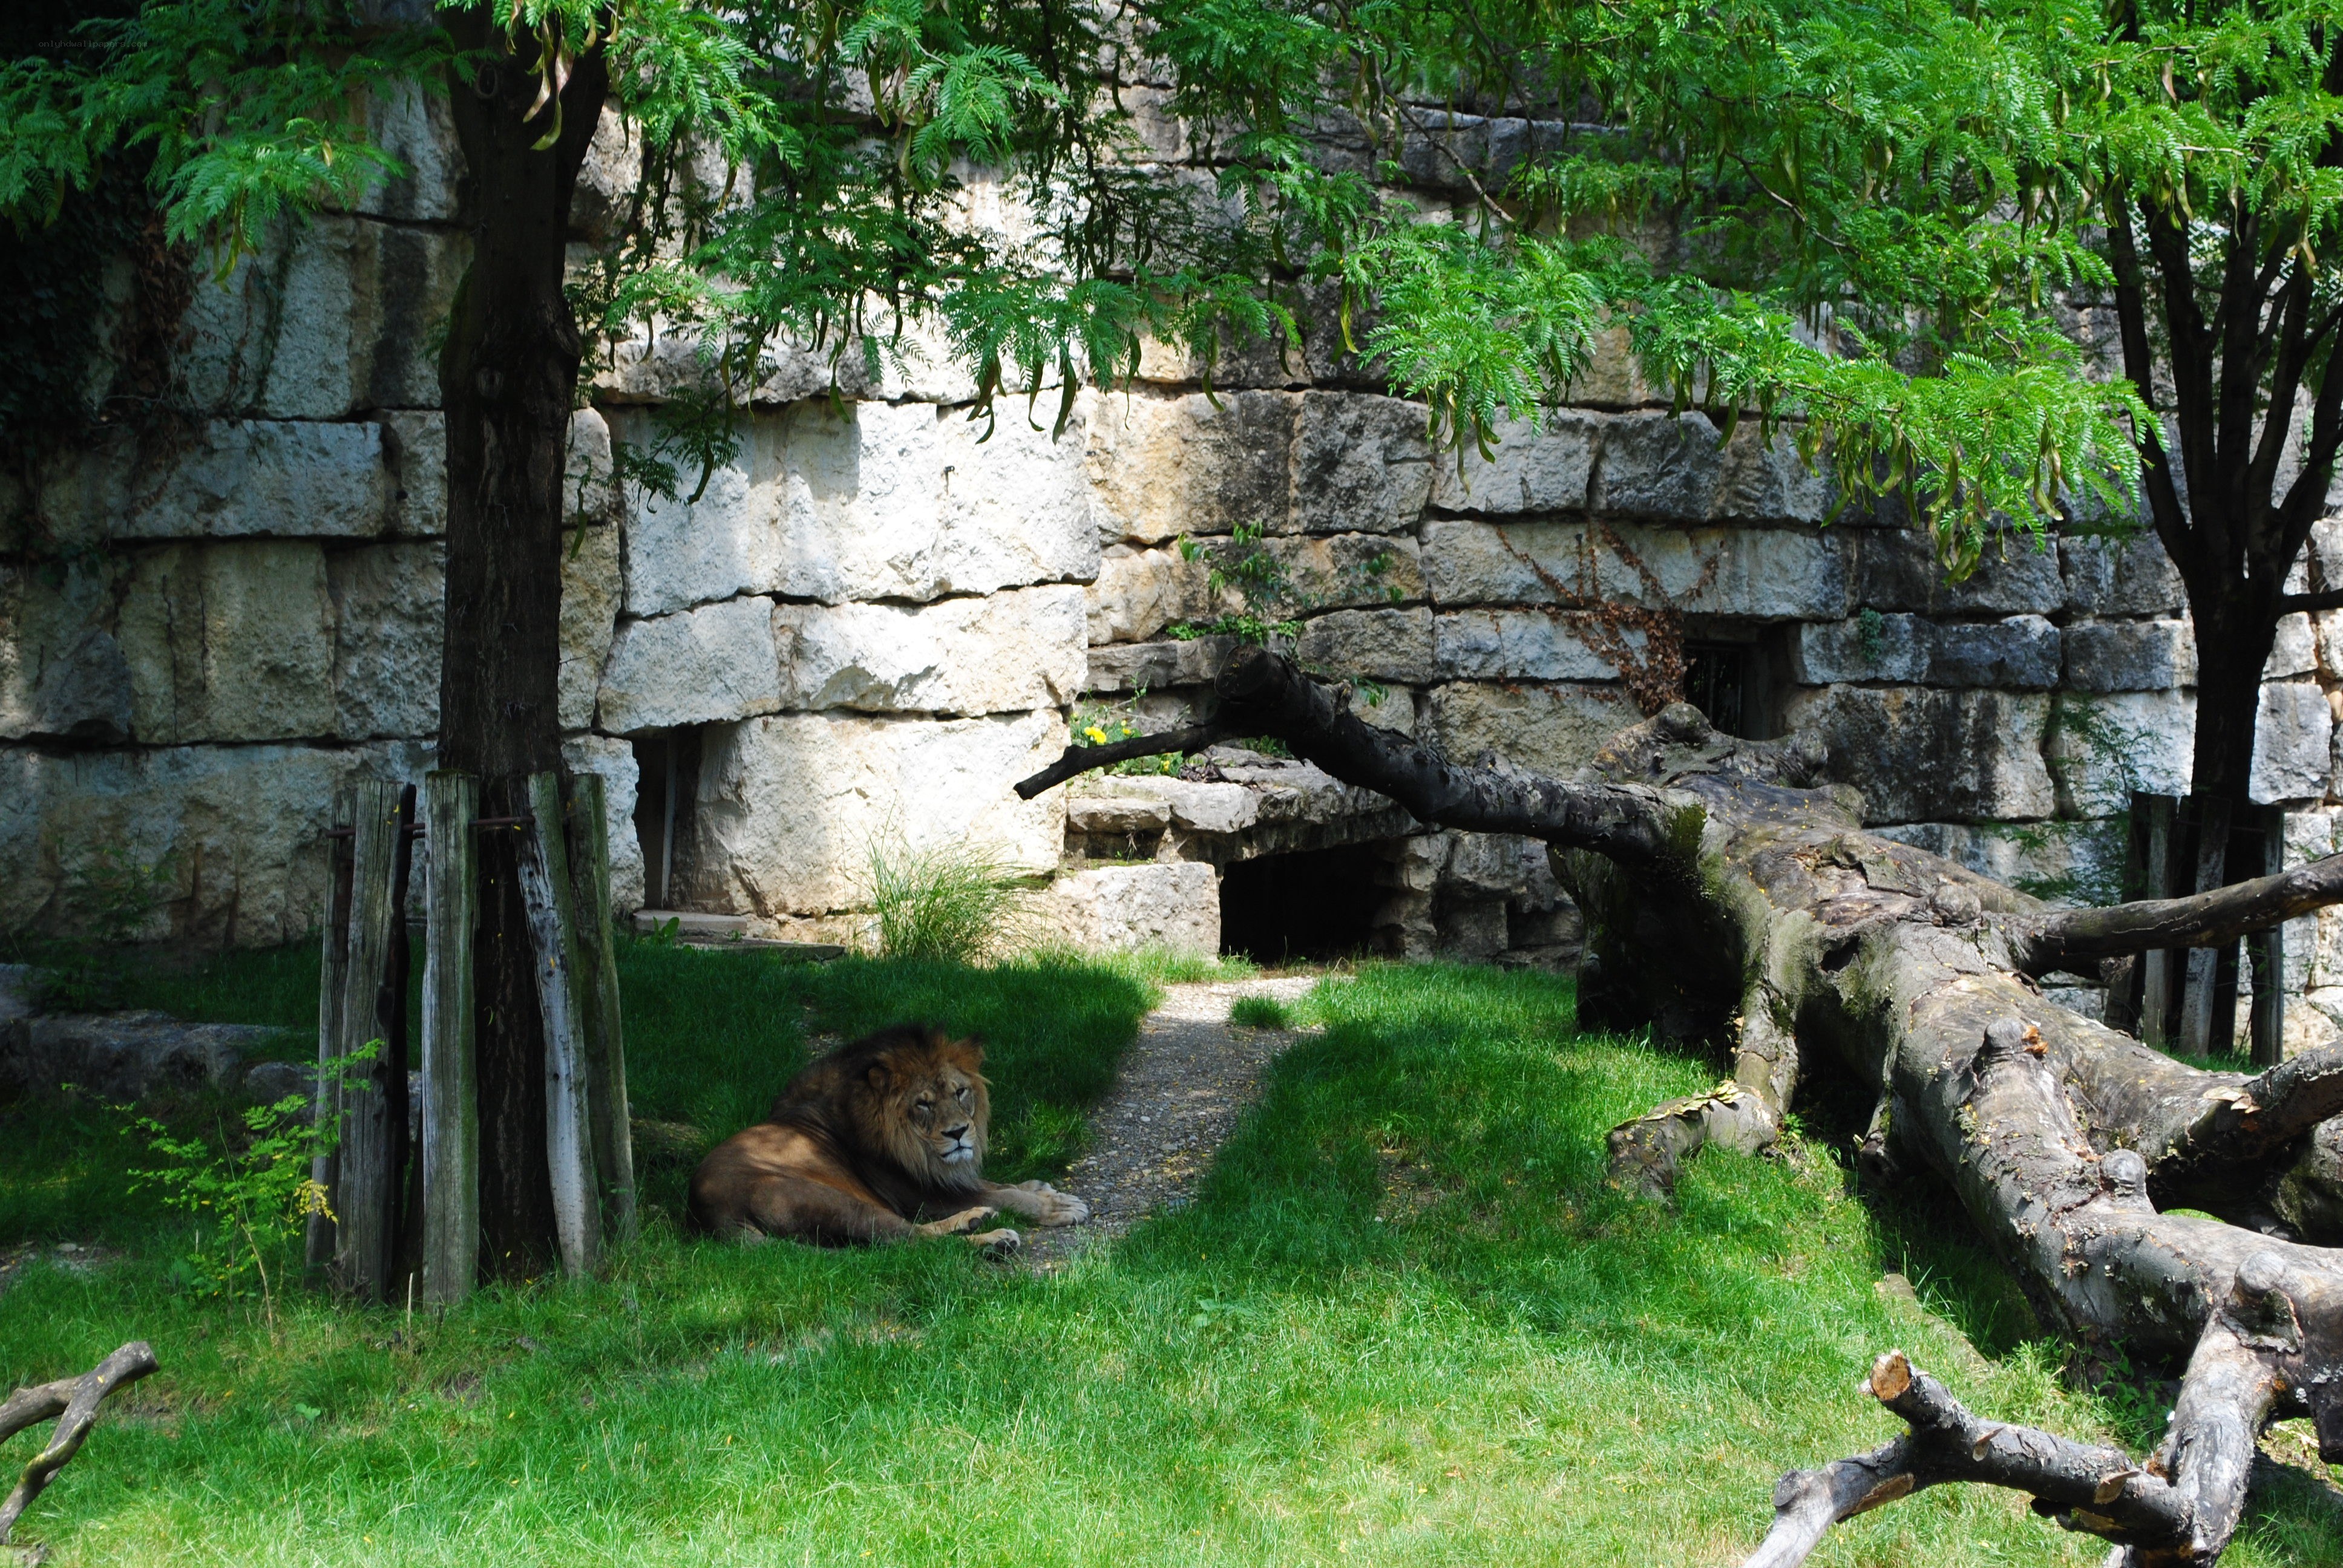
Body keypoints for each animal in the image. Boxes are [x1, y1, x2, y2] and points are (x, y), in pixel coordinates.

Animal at [686, 1024, 1089, 1252]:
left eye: (960, 1092)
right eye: (923, 1104)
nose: (958, 1133)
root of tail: (709, 1211)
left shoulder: (938, 1175)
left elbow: (995, 1184)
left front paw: (1044, 1190)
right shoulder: (919, 1192)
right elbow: (1002, 1194)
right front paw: (1057, 1208)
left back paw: (974, 1222)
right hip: (833, 1201)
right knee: (912, 1245)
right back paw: (992, 1238)